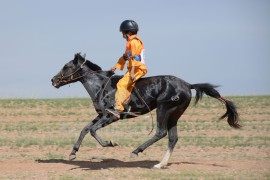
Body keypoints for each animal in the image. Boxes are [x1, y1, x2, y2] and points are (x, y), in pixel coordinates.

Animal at [51, 52, 240, 169]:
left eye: (66, 66)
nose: (53, 80)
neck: (101, 86)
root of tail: (188, 85)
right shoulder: (101, 115)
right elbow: (85, 129)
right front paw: (73, 153)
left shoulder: (112, 116)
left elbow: (92, 130)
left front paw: (109, 143)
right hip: (175, 114)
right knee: (173, 137)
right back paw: (160, 164)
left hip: (164, 109)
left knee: (161, 132)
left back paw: (136, 151)